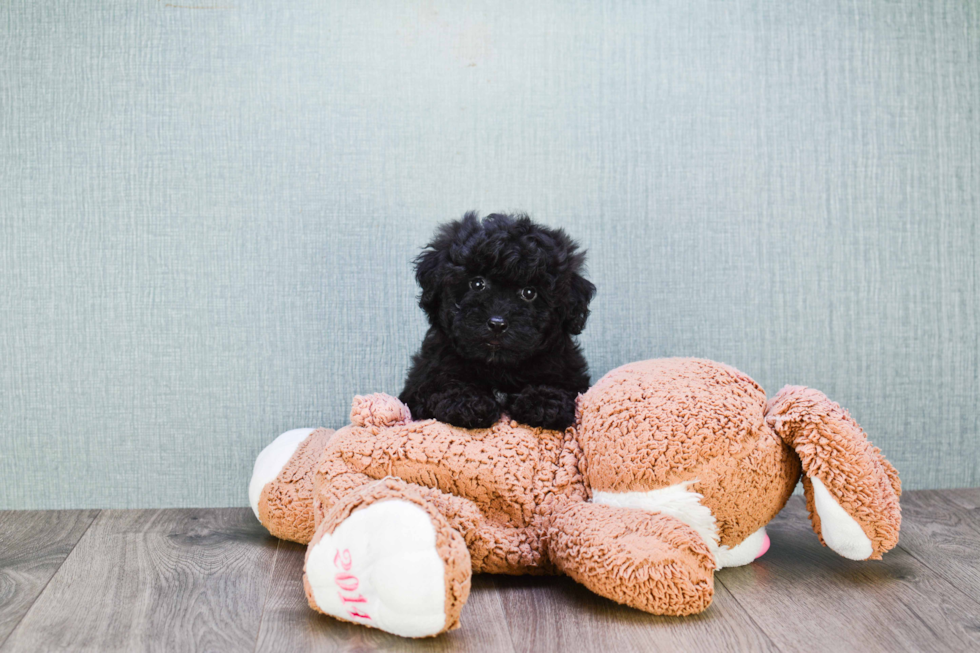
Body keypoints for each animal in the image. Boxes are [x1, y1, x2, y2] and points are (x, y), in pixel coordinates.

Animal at [398, 211, 596, 430]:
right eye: (477, 283)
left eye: (529, 293)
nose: (497, 324)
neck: (498, 368)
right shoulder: (422, 381)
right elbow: (439, 386)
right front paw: (466, 402)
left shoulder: (566, 370)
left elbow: (559, 385)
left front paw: (543, 401)